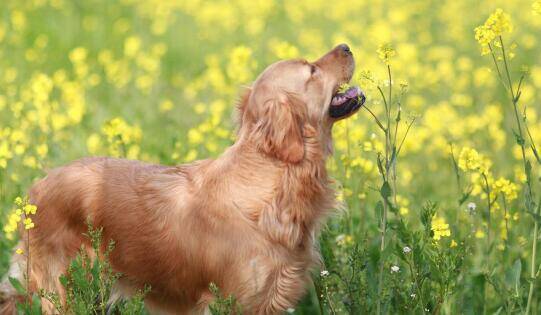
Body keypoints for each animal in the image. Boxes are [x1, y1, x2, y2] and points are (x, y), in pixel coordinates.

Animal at [0, 43, 364, 314]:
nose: (346, 45)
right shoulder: (232, 301)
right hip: (63, 290)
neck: (275, 178)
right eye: (311, 69)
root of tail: (35, 189)